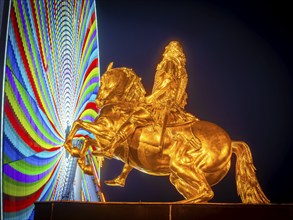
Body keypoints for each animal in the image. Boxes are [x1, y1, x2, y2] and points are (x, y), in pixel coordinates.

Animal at [64, 67, 270, 205]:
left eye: (109, 79)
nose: (99, 100)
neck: (122, 107)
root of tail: (230, 141)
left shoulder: (107, 134)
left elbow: (80, 125)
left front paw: (72, 149)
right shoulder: (104, 140)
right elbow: (86, 139)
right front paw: (82, 160)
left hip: (181, 167)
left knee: (206, 192)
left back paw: (174, 204)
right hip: (178, 177)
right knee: (203, 194)